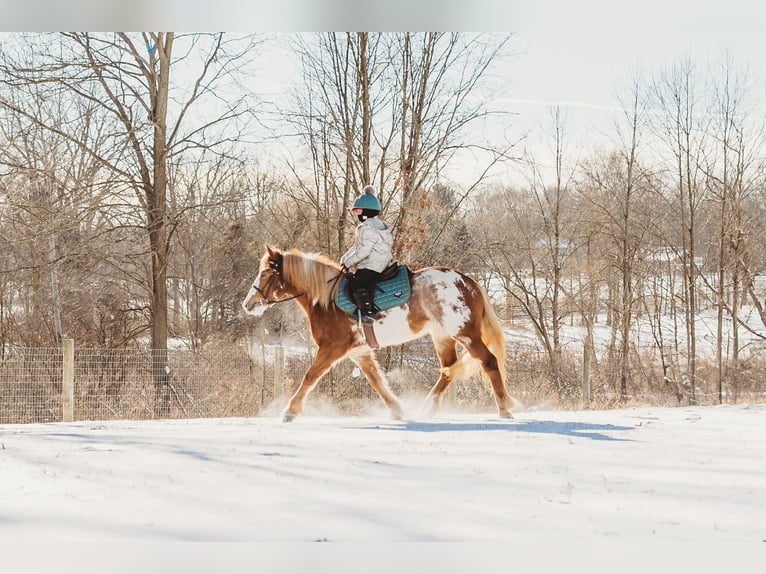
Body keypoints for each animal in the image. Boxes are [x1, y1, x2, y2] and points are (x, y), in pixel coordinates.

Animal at [242, 245, 517, 422]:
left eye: (265, 273)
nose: (248, 304)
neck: (327, 301)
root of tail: (468, 282)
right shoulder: (359, 351)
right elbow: (376, 381)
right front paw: (397, 410)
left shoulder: (332, 349)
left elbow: (310, 376)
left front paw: (290, 411)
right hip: (442, 337)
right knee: (448, 370)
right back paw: (427, 408)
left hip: (466, 334)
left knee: (489, 361)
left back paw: (504, 408)